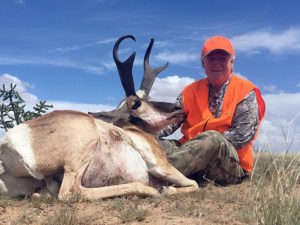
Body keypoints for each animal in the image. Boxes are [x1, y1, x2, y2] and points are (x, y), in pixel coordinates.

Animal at [0, 34, 198, 200]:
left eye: (148, 99)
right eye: (136, 103)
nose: (178, 107)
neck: (133, 132)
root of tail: (7, 143)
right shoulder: (161, 166)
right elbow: (194, 184)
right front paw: (167, 189)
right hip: (85, 141)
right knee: (69, 192)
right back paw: (152, 191)